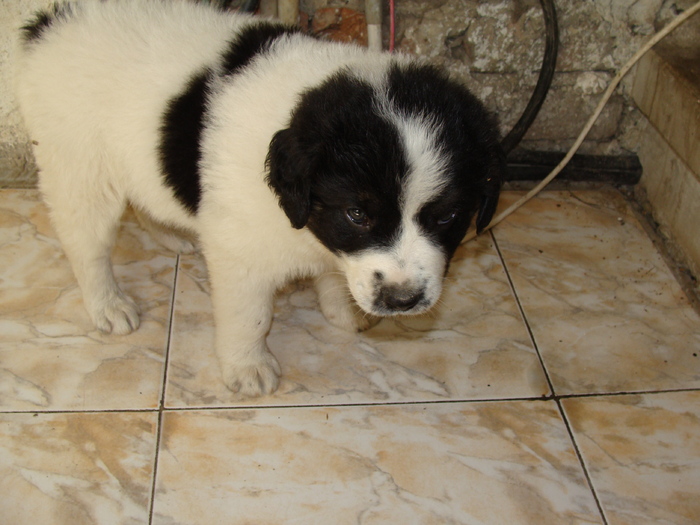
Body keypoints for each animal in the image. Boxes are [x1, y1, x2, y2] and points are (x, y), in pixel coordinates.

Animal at [15, 0, 504, 392]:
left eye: (447, 218)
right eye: (357, 213)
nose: (403, 301)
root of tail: (50, 22)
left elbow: (334, 275)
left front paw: (343, 310)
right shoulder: (241, 251)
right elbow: (250, 315)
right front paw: (248, 367)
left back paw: (172, 233)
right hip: (77, 165)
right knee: (87, 245)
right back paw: (108, 304)